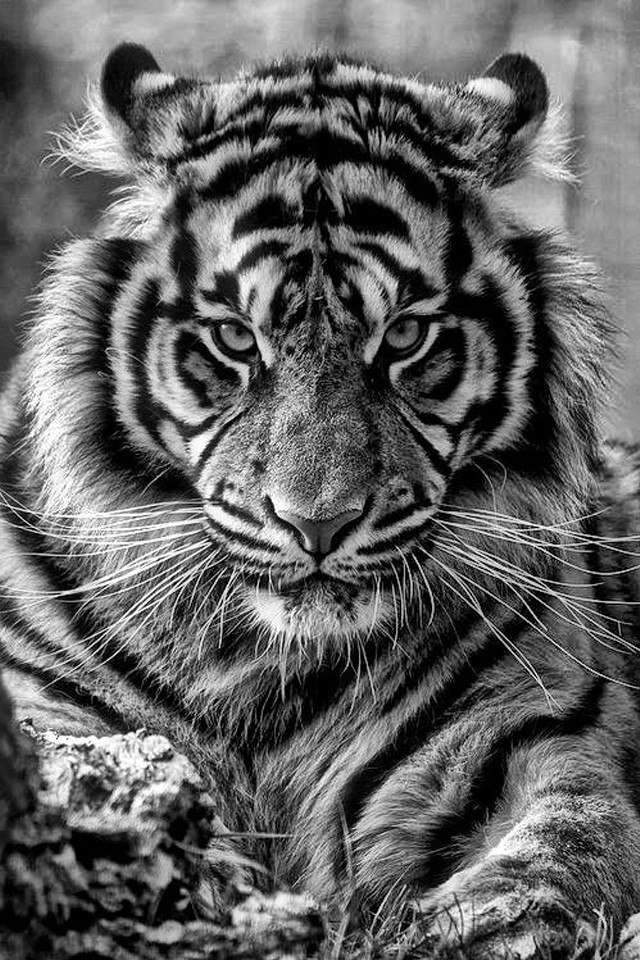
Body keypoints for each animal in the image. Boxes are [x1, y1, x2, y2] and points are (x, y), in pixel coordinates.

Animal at [1, 40, 640, 958]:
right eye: (234, 339)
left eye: (405, 336)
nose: (318, 524)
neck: (264, 669)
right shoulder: (49, 710)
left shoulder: (530, 734)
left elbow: (556, 861)